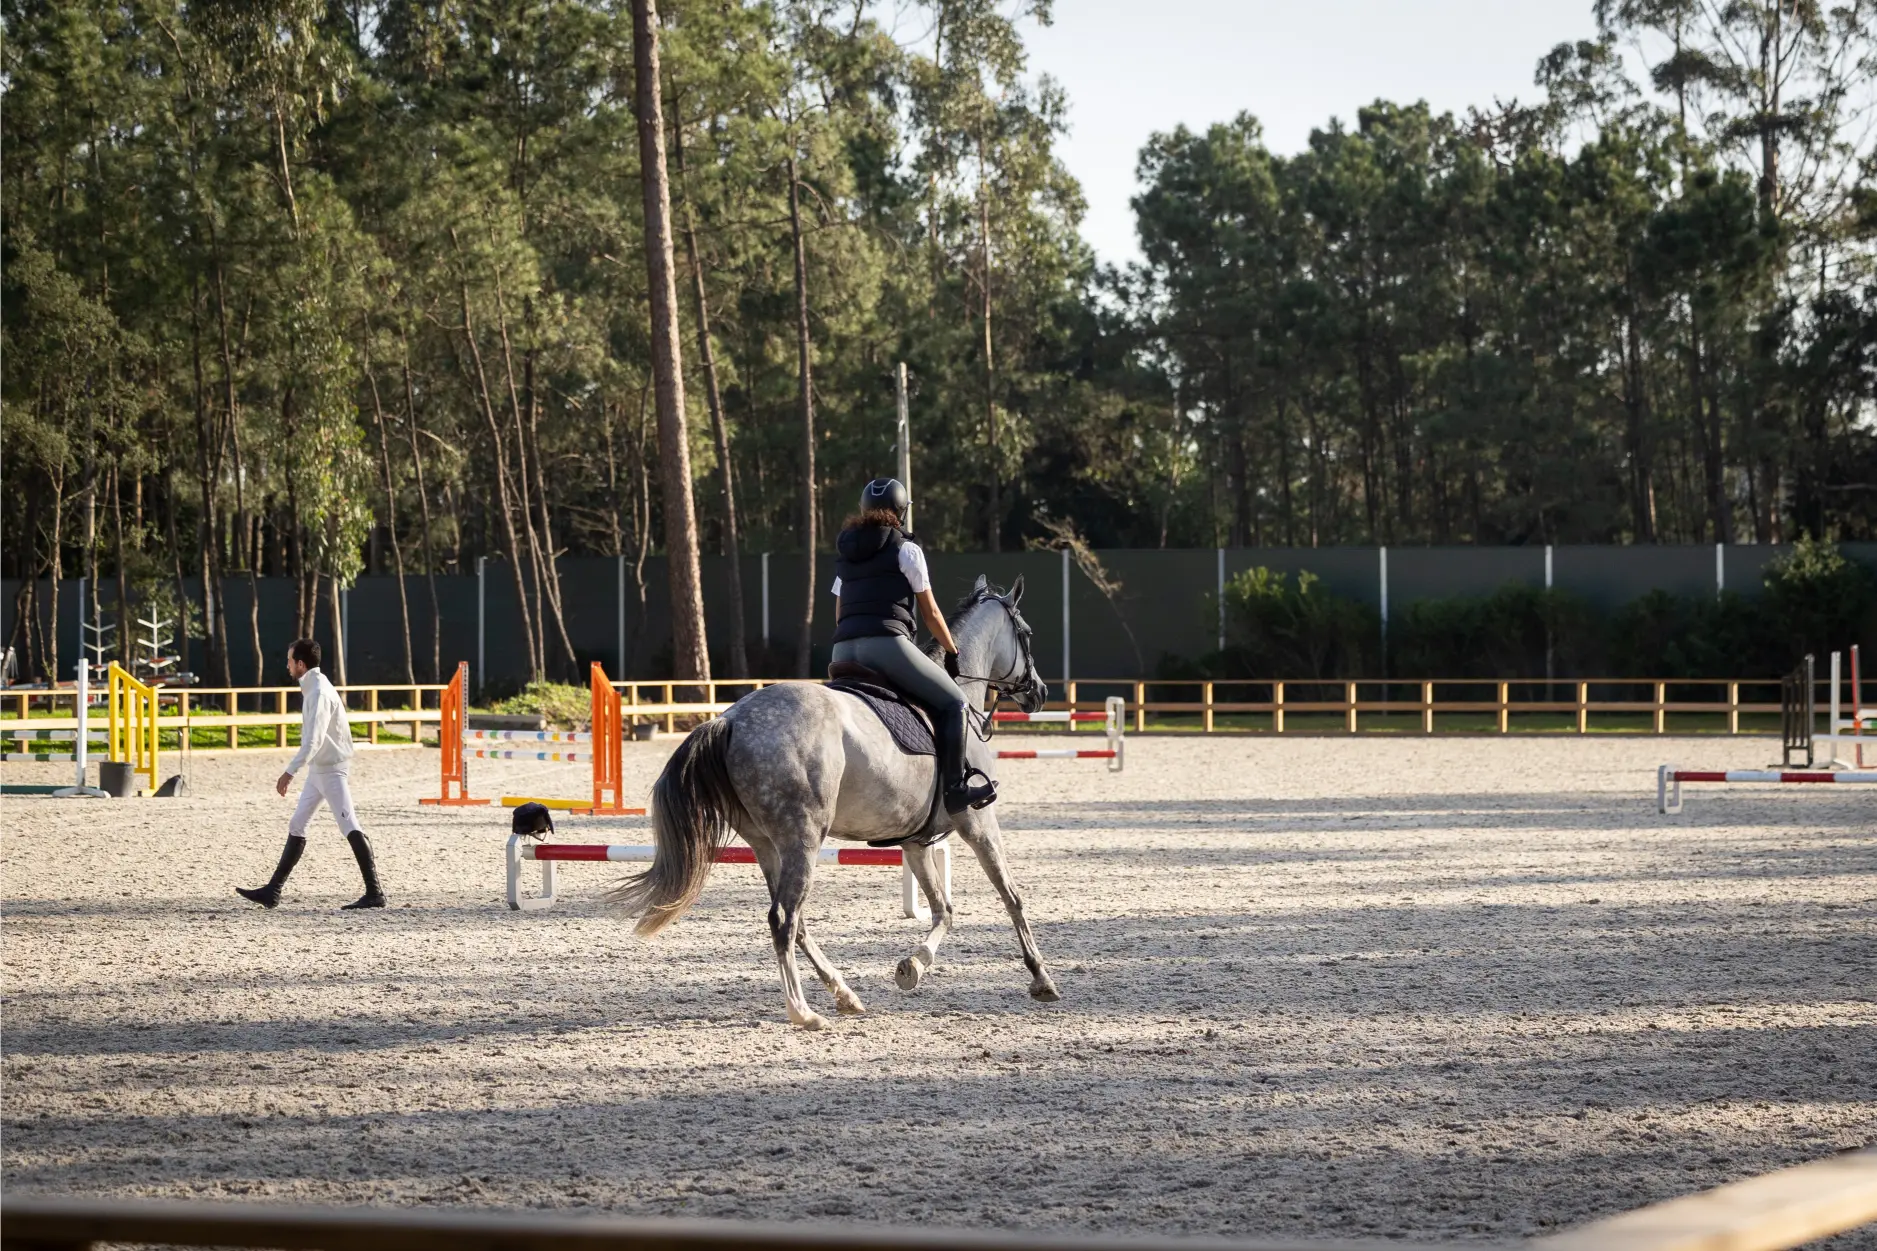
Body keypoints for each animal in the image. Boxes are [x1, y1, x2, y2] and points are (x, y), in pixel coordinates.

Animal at [608, 576, 1060, 1030]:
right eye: (1027, 634)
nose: (1039, 692)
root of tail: (729, 719)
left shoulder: (915, 841)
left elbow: (943, 909)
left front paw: (913, 966)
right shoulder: (978, 823)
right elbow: (1011, 896)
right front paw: (1041, 979)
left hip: (768, 845)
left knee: (797, 921)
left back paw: (843, 993)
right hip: (803, 837)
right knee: (783, 918)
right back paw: (803, 1011)